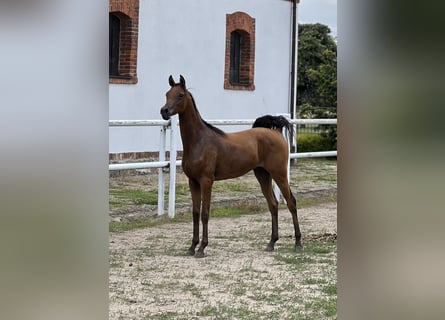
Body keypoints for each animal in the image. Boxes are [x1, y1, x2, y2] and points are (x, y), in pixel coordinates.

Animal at [160, 75, 302, 258]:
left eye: (180, 95)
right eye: (167, 94)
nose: (164, 111)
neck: (199, 140)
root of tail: (276, 132)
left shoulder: (206, 181)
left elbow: (205, 213)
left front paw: (202, 248)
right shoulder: (193, 181)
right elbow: (195, 213)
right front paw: (192, 247)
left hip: (280, 174)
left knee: (291, 202)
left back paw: (298, 243)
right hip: (262, 175)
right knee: (273, 204)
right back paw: (271, 243)